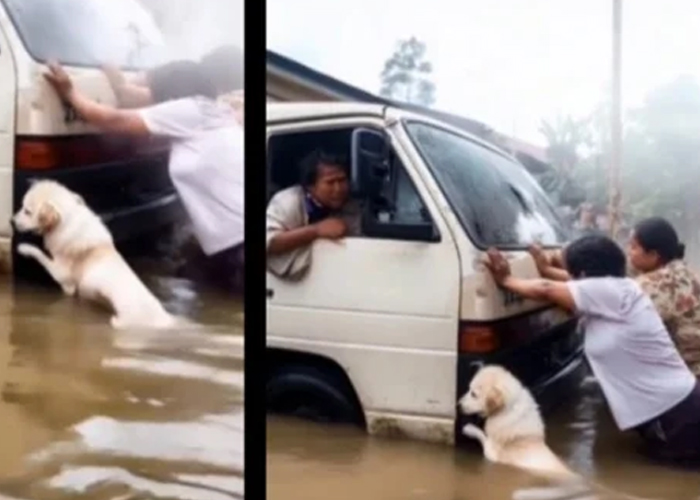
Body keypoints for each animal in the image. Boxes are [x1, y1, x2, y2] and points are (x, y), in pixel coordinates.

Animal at [13, 180, 175, 328]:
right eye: (22, 207)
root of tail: (163, 319)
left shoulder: (63, 277)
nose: (11, 221)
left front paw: (24, 248)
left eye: (27, 212)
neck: (68, 219)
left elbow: (39, 254)